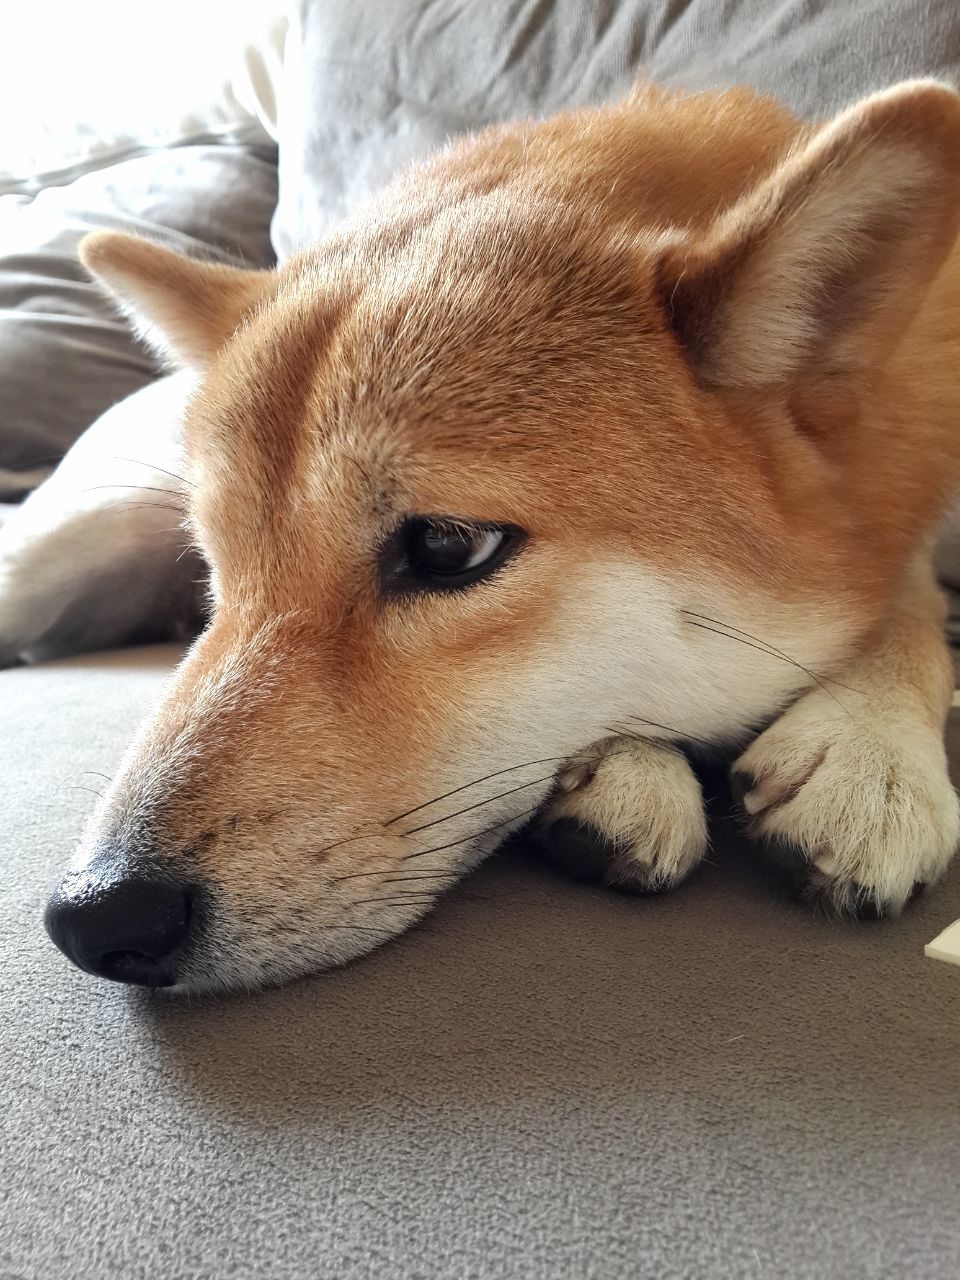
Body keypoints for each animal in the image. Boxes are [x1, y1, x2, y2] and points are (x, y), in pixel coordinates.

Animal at [41, 82, 960, 998]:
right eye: (216, 564)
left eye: (449, 547)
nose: (93, 915)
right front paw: (630, 767)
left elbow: (910, 595)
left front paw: (875, 747)